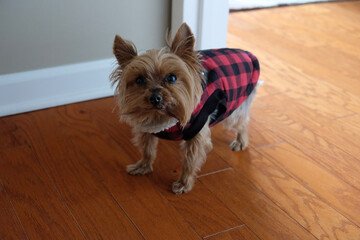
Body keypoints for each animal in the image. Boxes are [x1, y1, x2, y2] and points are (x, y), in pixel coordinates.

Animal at [109, 22, 258, 194]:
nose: (155, 97)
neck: (163, 116)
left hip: (233, 106)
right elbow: (147, 149)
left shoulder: (196, 132)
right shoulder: (147, 127)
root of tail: (248, 54)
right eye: (139, 80)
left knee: (242, 122)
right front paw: (143, 166)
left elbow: (190, 161)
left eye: (172, 77)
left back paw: (240, 141)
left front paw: (183, 183)